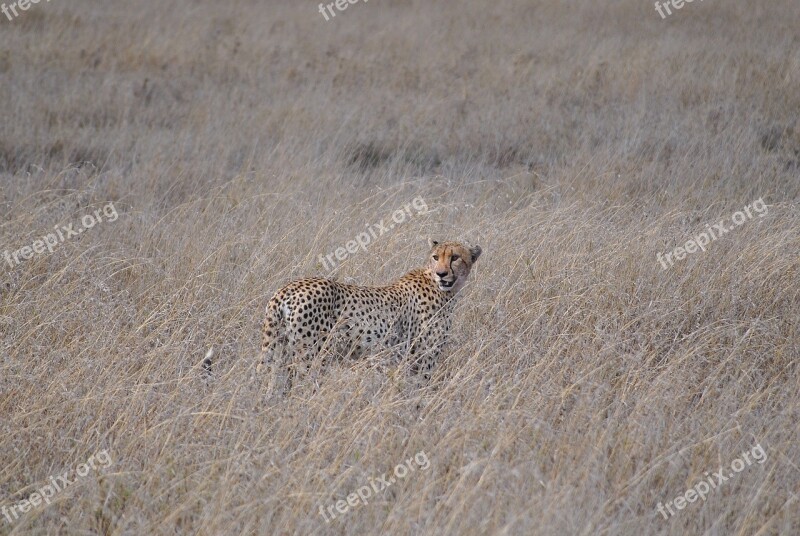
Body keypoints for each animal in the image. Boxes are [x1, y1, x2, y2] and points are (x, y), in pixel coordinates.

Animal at [258, 241, 482, 392]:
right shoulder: (421, 359)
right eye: (436, 257)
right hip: (311, 354)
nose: (441, 274)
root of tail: (287, 288)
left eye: (455, 257)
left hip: (280, 350)